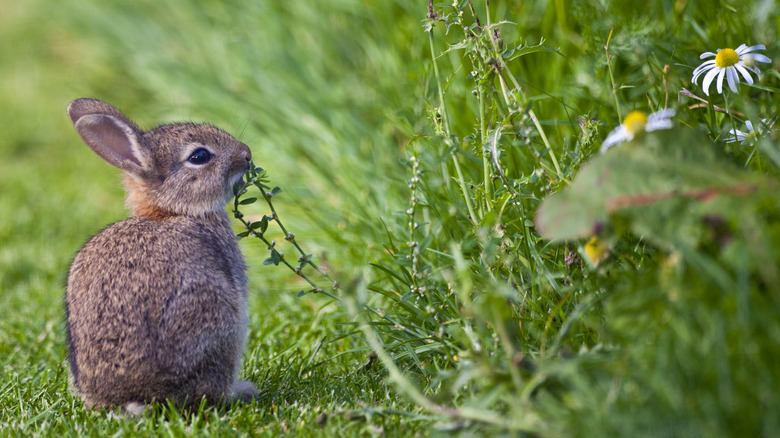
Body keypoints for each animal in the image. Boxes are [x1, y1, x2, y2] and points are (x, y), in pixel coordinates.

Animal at [64, 98, 258, 414]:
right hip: (217, 323)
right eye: (200, 156)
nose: (246, 154)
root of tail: (139, 397)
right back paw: (242, 391)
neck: (172, 211)